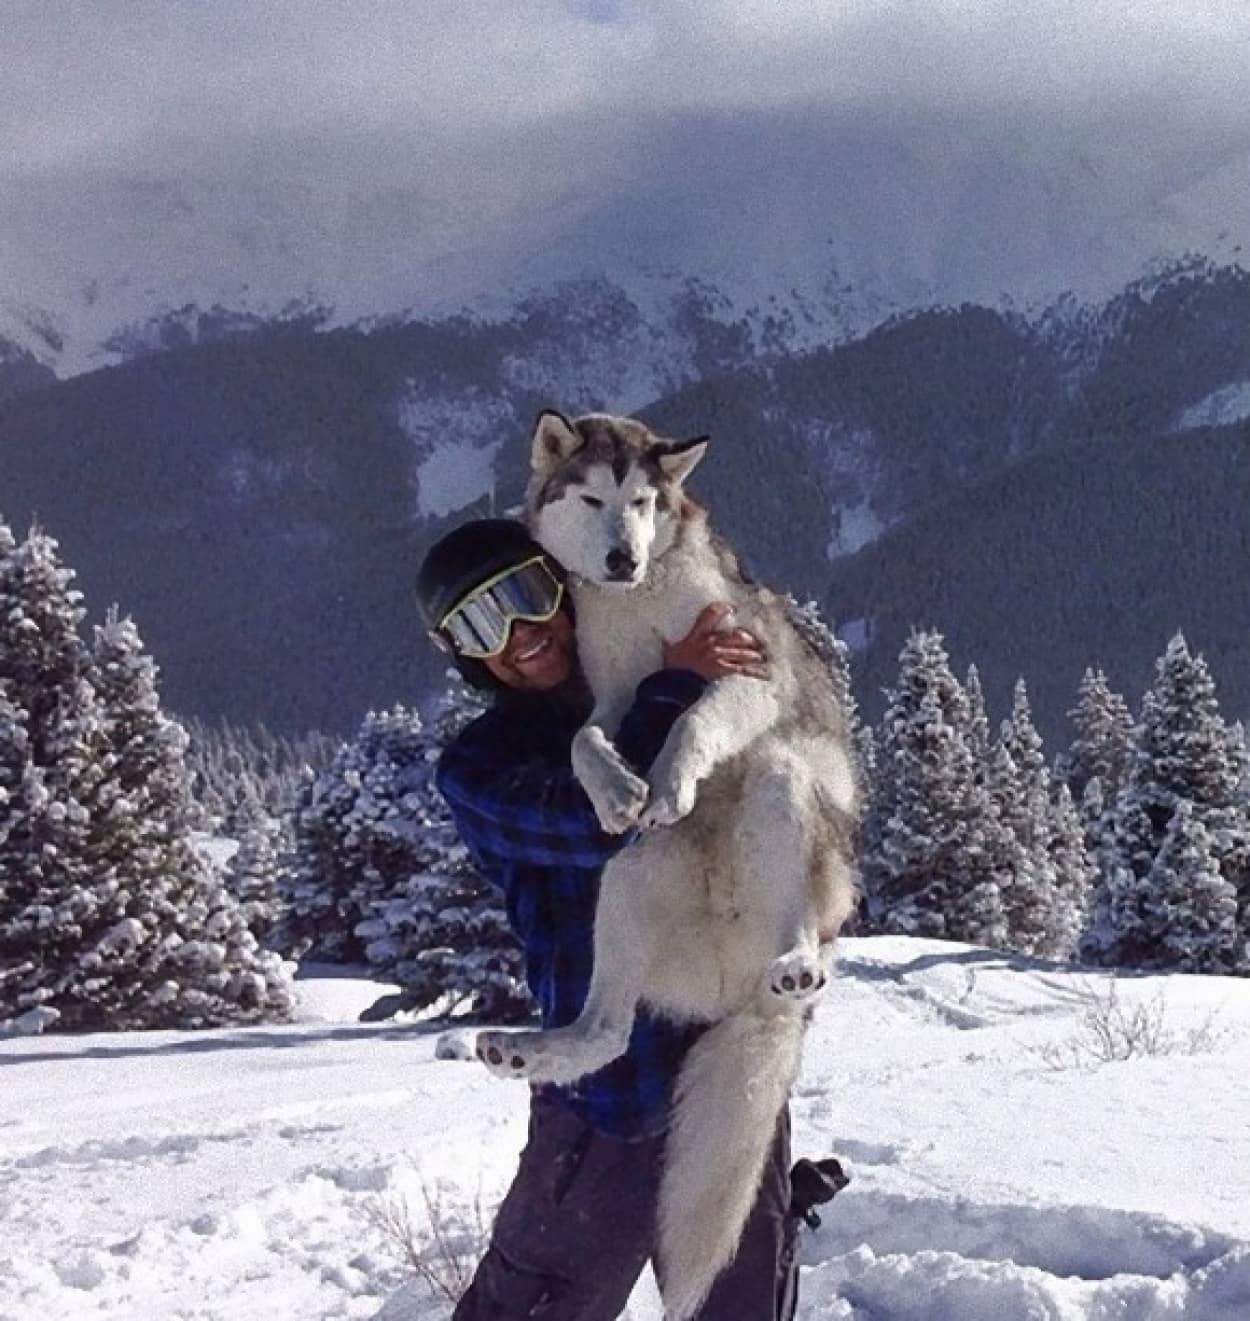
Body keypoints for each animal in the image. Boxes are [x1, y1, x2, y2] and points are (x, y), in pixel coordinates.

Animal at [478, 412, 856, 1321]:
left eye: (644, 502)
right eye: (592, 499)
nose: (623, 558)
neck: (639, 606)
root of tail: (733, 991)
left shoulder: (747, 670)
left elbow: (693, 717)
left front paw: (674, 778)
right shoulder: (611, 699)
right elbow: (585, 739)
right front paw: (620, 787)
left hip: (782, 786)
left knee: (793, 891)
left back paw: (797, 961)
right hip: (625, 884)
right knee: (610, 1029)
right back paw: (530, 1048)